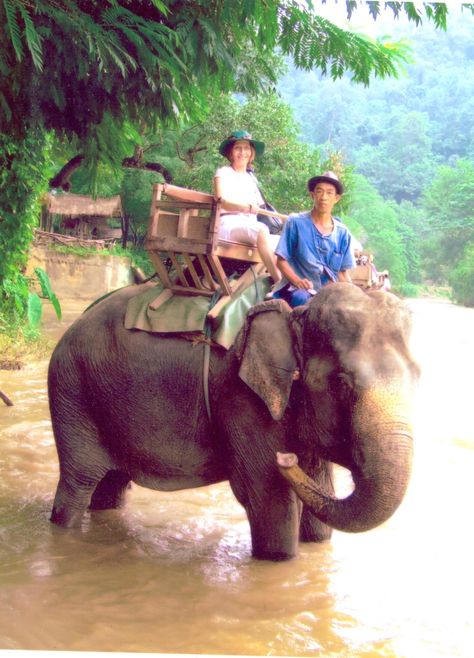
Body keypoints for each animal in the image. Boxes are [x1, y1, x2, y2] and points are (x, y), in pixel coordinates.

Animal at [47, 280, 418, 560]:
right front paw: (279, 558)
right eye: (342, 383)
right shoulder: (242, 398)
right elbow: (270, 504)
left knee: (112, 485)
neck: (296, 318)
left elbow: (319, 501)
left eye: (418, 377)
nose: (286, 458)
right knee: (79, 483)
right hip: (72, 393)